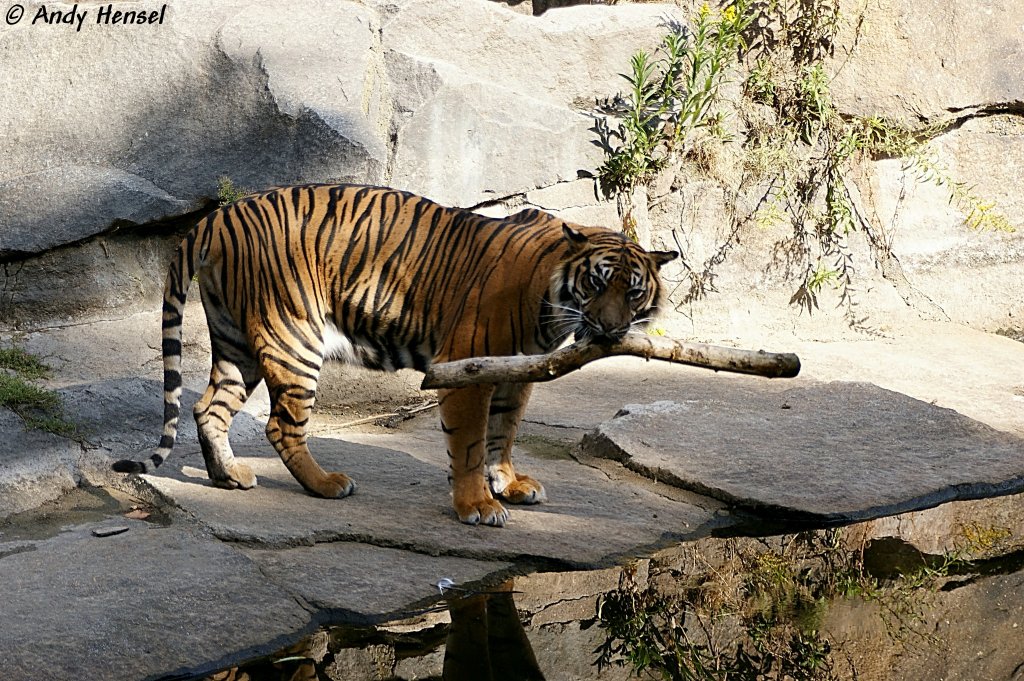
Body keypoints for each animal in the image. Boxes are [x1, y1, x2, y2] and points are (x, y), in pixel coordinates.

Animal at [112, 184, 675, 524]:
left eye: (633, 292)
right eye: (597, 283)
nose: (610, 331)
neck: (551, 300)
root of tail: (218, 217)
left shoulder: (518, 373)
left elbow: (504, 431)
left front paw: (510, 483)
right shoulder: (468, 367)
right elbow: (470, 443)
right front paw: (477, 504)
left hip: (236, 341)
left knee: (209, 407)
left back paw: (228, 477)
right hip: (292, 334)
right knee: (279, 425)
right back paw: (326, 484)